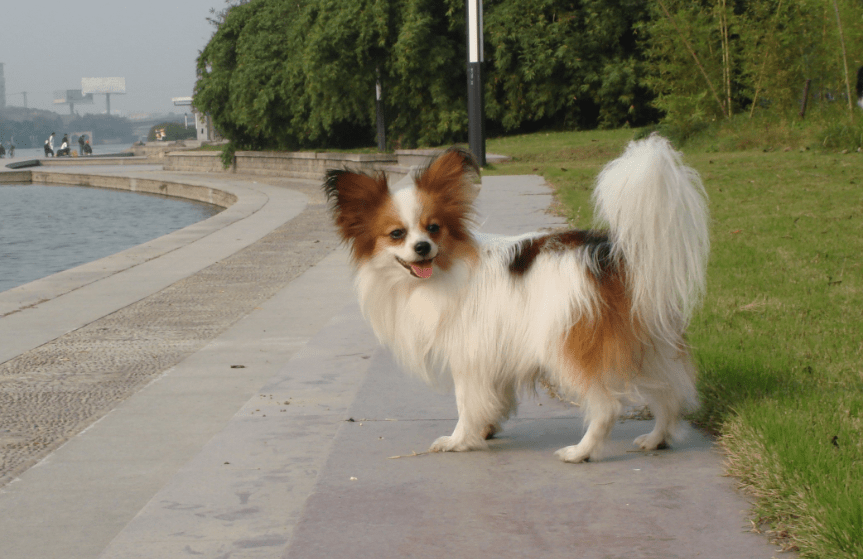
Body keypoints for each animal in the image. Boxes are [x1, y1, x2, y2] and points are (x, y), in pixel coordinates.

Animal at [324, 133, 708, 462]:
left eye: (433, 228)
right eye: (396, 234)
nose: (422, 247)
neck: (446, 266)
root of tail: (610, 254)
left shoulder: (469, 354)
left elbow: (466, 403)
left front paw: (459, 440)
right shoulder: (494, 355)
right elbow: (494, 400)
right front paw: (487, 430)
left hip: (567, 347)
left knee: (608, 407)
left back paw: (581, 452)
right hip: (651, 346)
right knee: (670, 393)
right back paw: (657, 439)